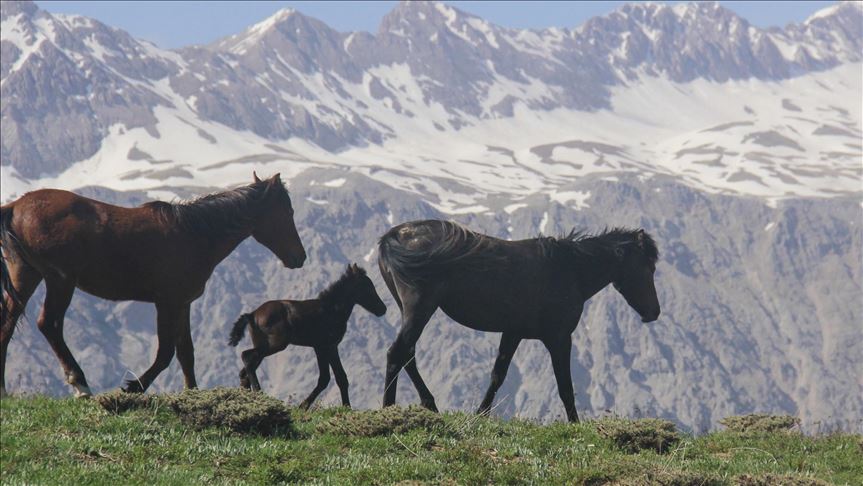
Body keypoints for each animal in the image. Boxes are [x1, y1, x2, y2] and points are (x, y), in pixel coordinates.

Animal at [0, 173, 308, 396]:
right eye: (287, 212)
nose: (300, 257)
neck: (194, 234)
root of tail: (15, 206)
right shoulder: (167, 303)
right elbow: (166, 353)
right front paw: (135, 386)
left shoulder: (183, 304)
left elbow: (186, 353)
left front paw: (192, 392)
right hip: (60, 281)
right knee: (49, 324)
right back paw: (80, 383)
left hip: (26, 277)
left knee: (7, 326)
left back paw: (4, 391)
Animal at [228, 264, 386, 408]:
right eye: (367, 287)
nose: (382, 309)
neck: (331, 309)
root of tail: (252, 314)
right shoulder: (326, 346)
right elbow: (328, 378)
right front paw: (304, 406)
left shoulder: (326, 347)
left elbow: (337, 378)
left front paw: (345, 407)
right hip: (275, 345)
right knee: (246, 357)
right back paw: (257, 392)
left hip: (263, 346)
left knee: (245, 370)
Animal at [380, 220, 660, 422]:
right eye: (648, 268)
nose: (654, 312)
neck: (570, 269)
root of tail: (393, 236)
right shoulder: (559, 338)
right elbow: (565, 388)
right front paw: (575, 424)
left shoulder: (513, 333)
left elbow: (498, 375)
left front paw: (481, 415)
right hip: (420, 310)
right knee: (397, 353)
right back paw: (387, 409)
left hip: (411, 312)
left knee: (408, 355)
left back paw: (429, 405)